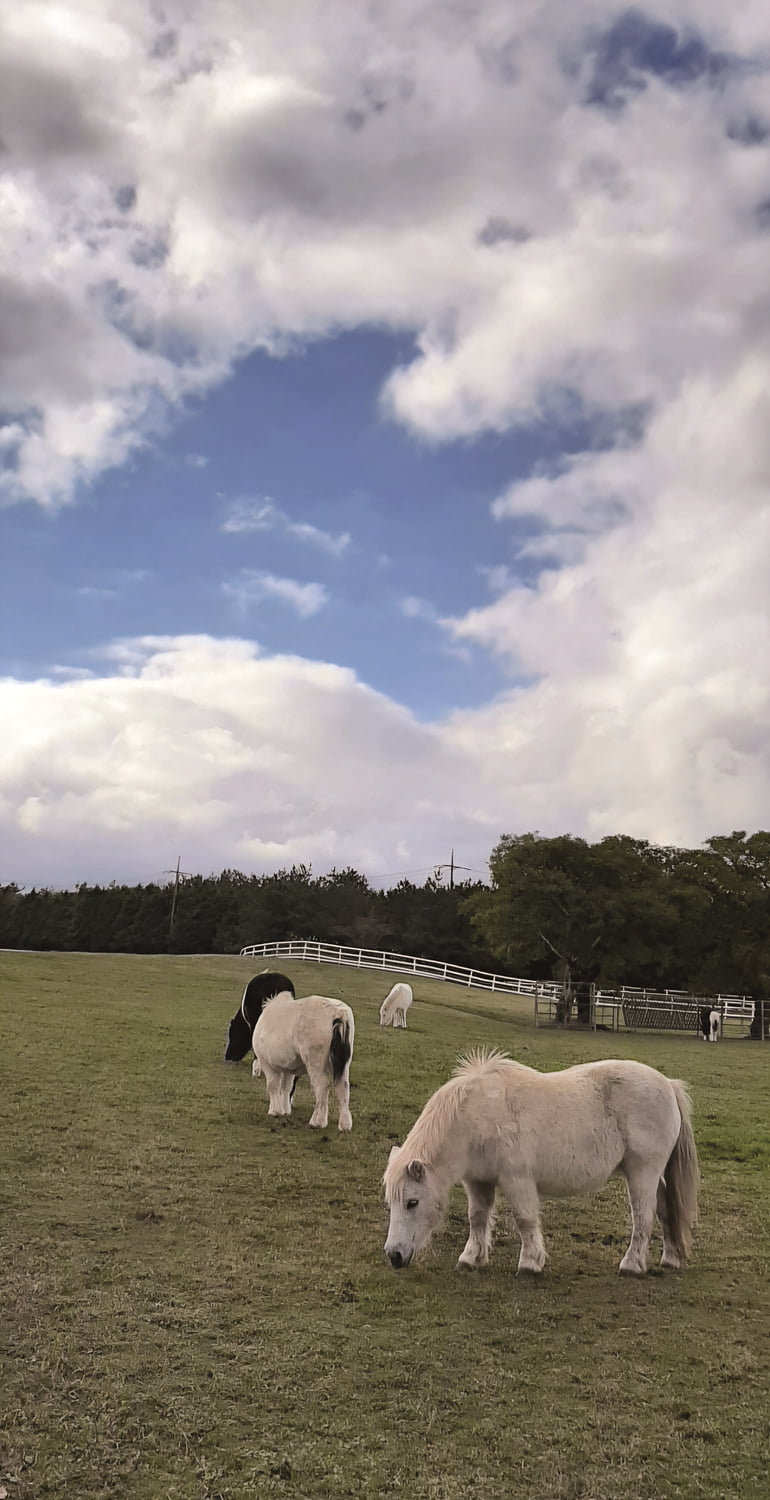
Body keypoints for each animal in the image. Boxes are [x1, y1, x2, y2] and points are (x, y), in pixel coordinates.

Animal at [252, 990, 354, 1128]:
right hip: (343, 1064)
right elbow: (286, 1087)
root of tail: (337, 1012)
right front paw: (285, 1110)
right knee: (342, 1086)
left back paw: (317, 1121)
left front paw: (275, 1111)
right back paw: (345, 1125)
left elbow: (273, 1085)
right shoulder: (288, 1068)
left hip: (315, 1061)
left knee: (322, 1086)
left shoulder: (267, 1063)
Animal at [381, 1056, 699, 1278]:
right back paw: (670, 1258)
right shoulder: (478, 1181)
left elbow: (524, 1220)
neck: (478, 1116)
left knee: (643, 1217)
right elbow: (478, 1218)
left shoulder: (516, 1179)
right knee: (665, 1211)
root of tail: (668, 1084)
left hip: (642, 1173)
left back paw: (631, 1265)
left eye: (412, 1202)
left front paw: (530, 1263)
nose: (394, 1255)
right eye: (391, 1202)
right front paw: (472, 1258)